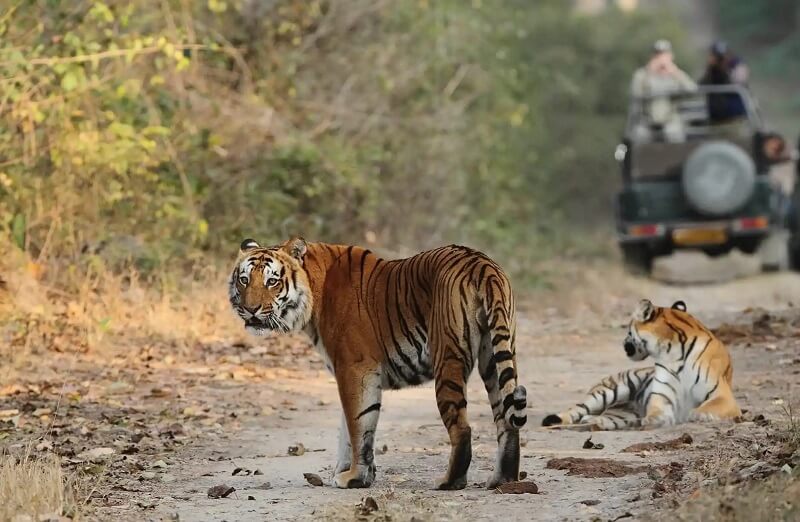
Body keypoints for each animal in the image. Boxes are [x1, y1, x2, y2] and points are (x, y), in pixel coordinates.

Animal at [228, 238, 528, 490]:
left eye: (272, 281)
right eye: (244, 280)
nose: (251, 310)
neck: (314, 288)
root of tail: (481, 264)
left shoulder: (354, 368)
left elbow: (358, 426)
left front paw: (354, 477)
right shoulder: (349, 373)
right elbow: (348, 429)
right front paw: (349, 473)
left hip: (448, 357)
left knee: (463, 428)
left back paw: (449, 482)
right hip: (494, 355)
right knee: (506, 421)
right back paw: (502, 480)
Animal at [540, 298, 740, 428]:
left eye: (628, 330)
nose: (623, 343)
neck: (672, 351)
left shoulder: (723, 395)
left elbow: (708, 406)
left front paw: (696, 415)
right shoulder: (662, 396)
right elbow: (656, 410)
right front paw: (655, 419)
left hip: (622, 415)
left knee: (603, 418)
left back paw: (592, 422)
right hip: (607, 392)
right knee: (577, 408)